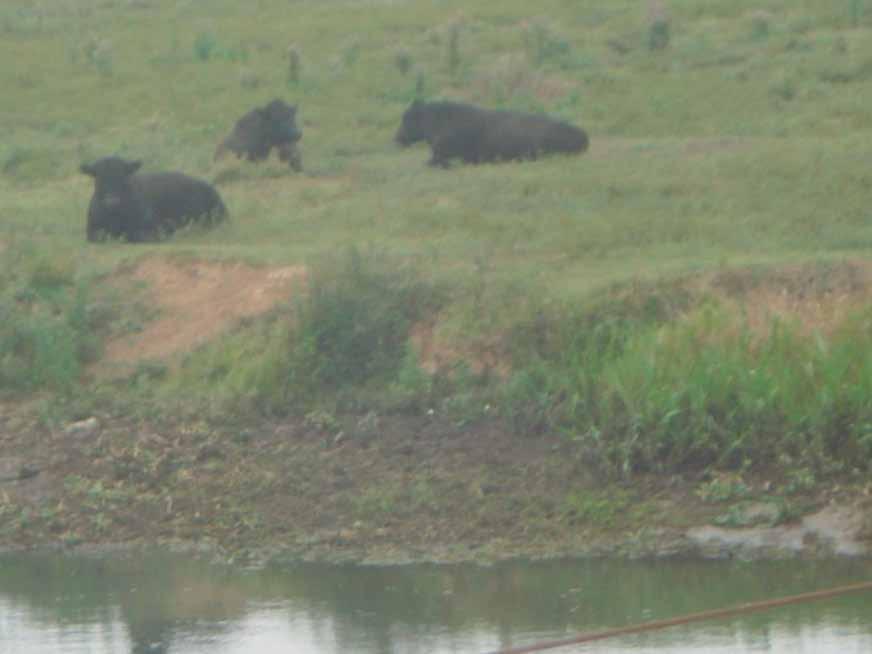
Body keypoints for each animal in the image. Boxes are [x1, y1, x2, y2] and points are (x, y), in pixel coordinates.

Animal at [81, 156, 228, 243]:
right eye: (98, 178)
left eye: (123, 176)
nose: (112, 201)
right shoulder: (92, 231)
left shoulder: (151, 229)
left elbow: (138, 235)